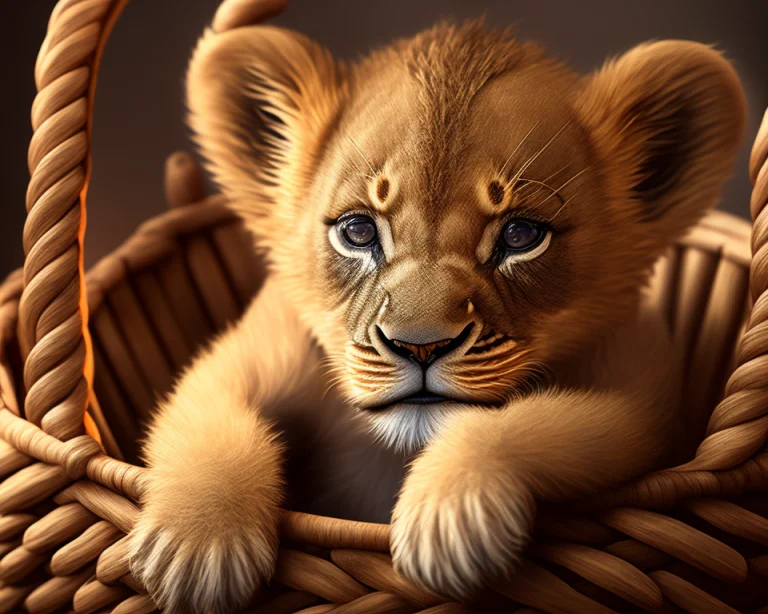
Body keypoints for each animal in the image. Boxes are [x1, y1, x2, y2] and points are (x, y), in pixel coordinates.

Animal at [127, 17, 746, 614]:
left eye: (521, 235)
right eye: (358, 230)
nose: (420, 347)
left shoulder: (641, 390)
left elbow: (542, 420)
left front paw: (448, 522)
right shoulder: (254, 346)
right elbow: (211, 416)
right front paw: (198, 552)